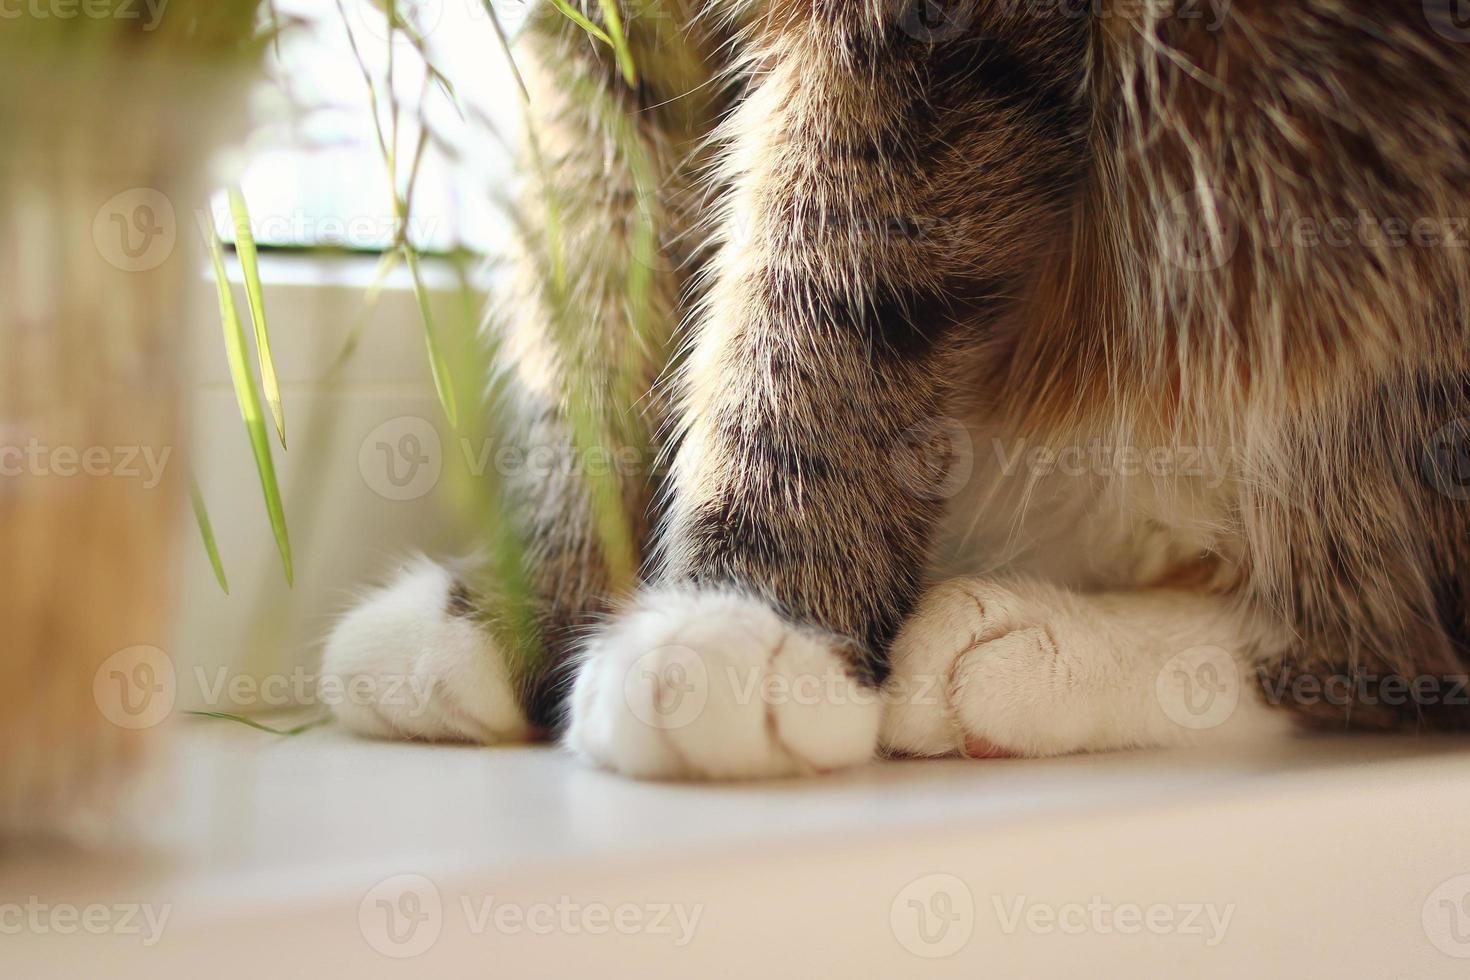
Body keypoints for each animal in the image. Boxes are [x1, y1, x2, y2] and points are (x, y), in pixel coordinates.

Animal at [321, 1, 1470, 781]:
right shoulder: (596, 46)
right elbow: (592, 307)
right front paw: (531, 606)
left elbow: (820, 286)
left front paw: (744, 615)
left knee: (1398, 645)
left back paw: (1035, 648)